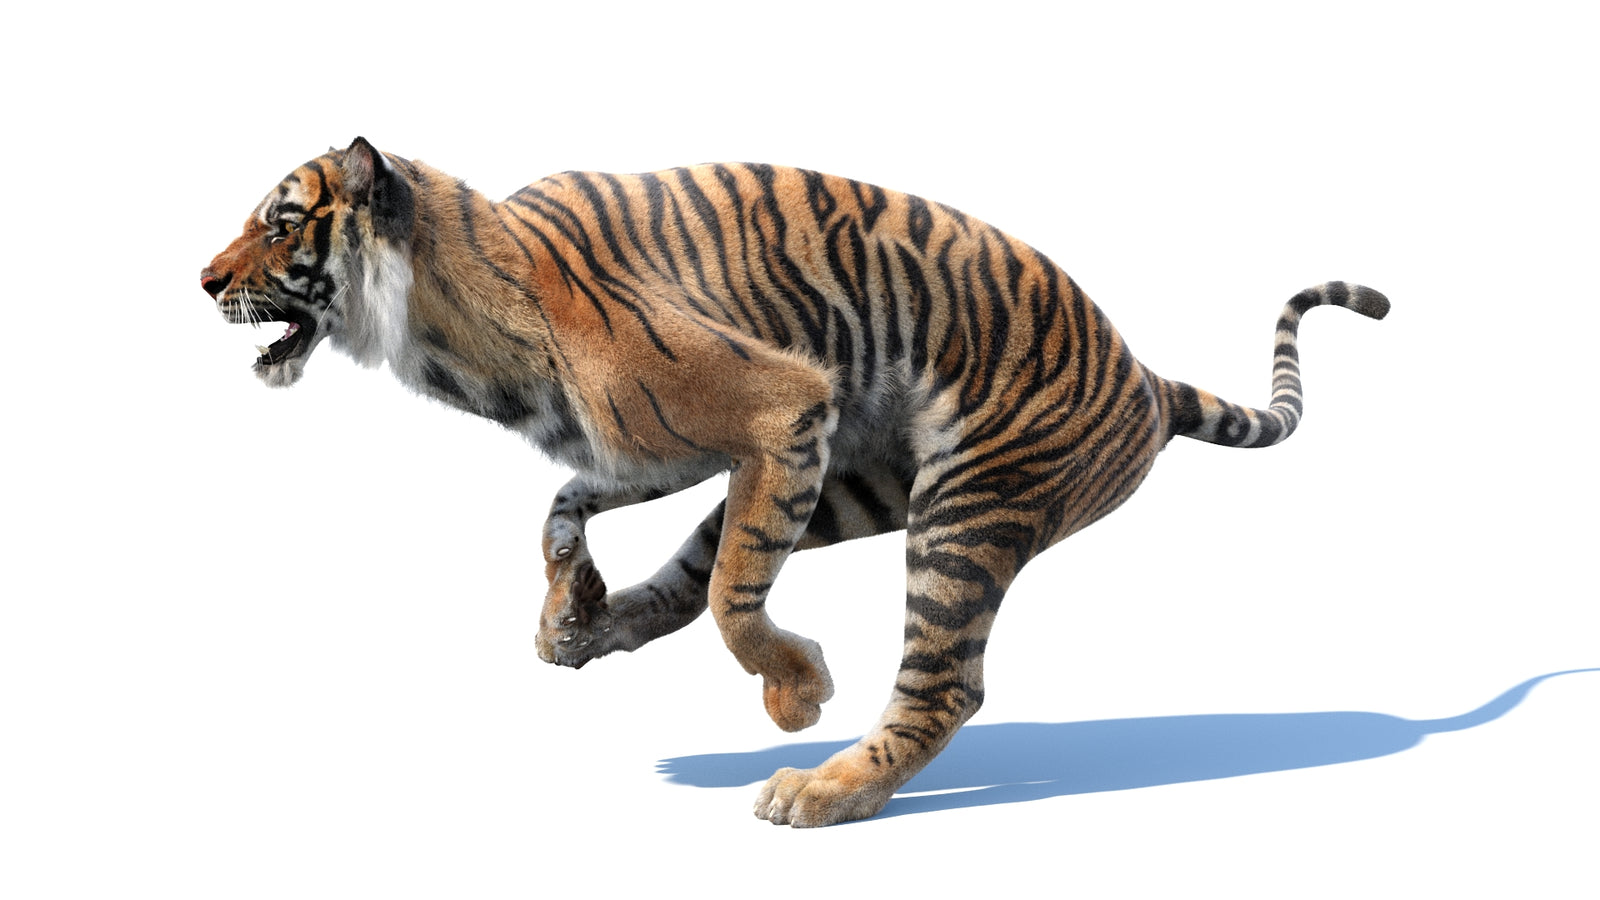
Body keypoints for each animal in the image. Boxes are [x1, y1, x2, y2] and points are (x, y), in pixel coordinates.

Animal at [201, 137, 1388, 827]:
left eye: (279, 221)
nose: (203, 279)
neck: (449, 324)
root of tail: (1142, 373)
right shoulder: (676, 448)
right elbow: (565, 509)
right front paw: (566, 608)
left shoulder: (780, 409)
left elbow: (735, 597)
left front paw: (796, 692)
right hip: (854, 485)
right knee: (694, 577)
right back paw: (597, 632)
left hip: (963, 507)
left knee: (937, 680)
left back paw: (827, 788)